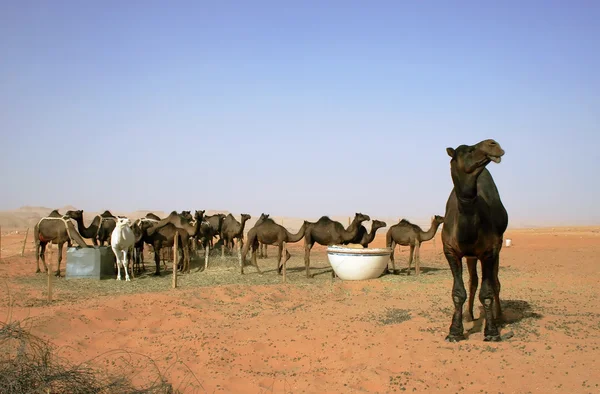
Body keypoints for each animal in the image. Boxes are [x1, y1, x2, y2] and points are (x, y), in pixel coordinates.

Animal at [442, 139, 508, 342]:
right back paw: (469, 314)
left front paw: (492, 332)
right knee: (473, 280)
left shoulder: (490, 251)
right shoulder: (450, 250)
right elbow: (458, 292)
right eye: (469, 150)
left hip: (498, 247)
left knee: (495, 281)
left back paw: (499, 316)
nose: (493, 143)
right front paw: (454, 331)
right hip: (471, 256)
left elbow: (487, 292)